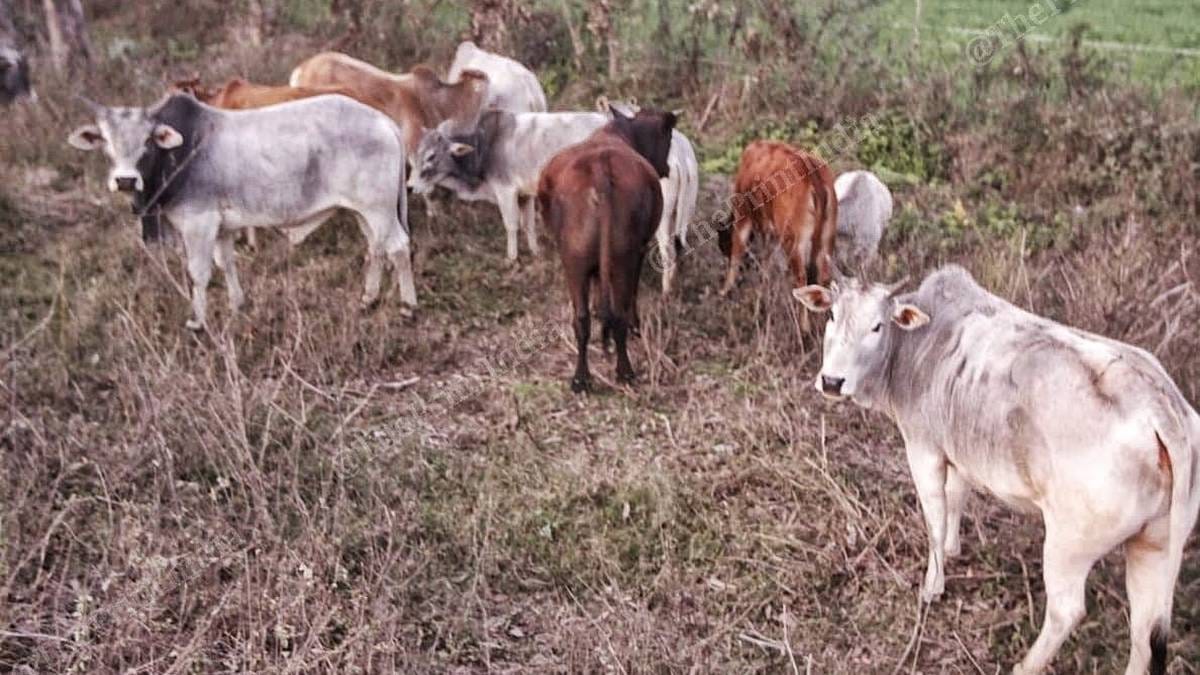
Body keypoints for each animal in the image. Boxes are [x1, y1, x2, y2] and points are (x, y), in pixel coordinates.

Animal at [67, 94, 417, 331]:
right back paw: (368, 299)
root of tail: (384, 122)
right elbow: (227, 264)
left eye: (147, 141)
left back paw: (408, 306)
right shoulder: (221, 228)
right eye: (106, 141)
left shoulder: (198, 224)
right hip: (365, 212)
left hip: (379, 209)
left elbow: (199, 273)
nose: (125, 180)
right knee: (375, 249)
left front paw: (198, 323)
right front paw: (238, 306)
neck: (182, 151)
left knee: (398, 248)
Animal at [409, 108, 700, 285]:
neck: (486, 145)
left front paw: (511, 260)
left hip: (661, 218)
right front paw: (535, 252)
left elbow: (511, 226)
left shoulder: (506, 191)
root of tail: (681, 152)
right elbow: (528, 225)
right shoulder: (526, 194)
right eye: (416, 153)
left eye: (431, 156)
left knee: (667, 250)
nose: (410, 186)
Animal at [536, 106, 676, 393]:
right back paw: (624, 371)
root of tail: (601, 170)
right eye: (667, 137)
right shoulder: (640, 251)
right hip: (623, 257)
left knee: (582, 318)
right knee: (618, 312)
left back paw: (582, 378)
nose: (666, 167)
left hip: (576, 261)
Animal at [719, 141, 837, 325]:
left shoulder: (744, 215)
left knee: (801, 277)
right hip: (827, 237)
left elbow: (738, 252)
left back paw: (804, 327)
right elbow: (766, 263)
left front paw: (725, 291)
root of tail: (813, 175)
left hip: (794, 241)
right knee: (823, 277)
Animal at [793, 265, 1200, 675]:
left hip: (1068, 546)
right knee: (1144, 632)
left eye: (877, 326)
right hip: (1154, 546)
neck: (919, 343)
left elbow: (935, 516)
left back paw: (1025, 666)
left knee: (1067, 611)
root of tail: (1162, 408)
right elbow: (956, 498)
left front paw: (932, 585)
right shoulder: (957, 450)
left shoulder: (923, 447)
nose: (832, 381)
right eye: (832, 315)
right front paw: (954, 549)